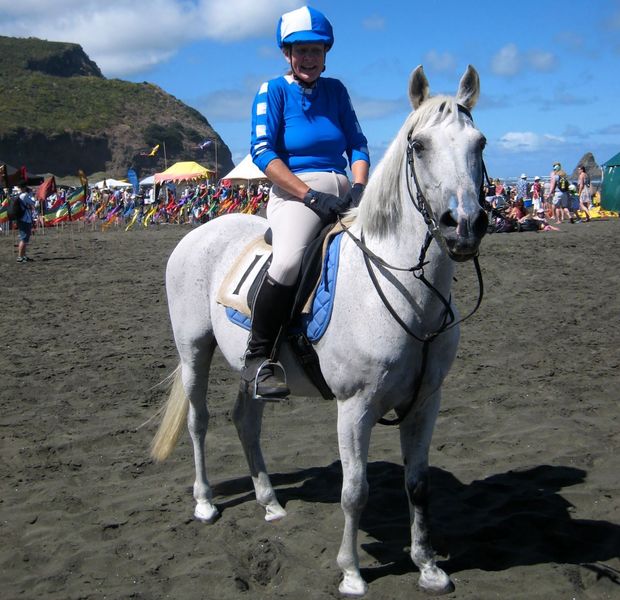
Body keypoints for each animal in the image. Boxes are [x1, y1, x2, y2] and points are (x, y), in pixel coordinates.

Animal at [151, 67, 490, 596]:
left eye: (480, 143)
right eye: (418, 146)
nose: (465, 226)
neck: (405, 292)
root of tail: (199, 232)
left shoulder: (425, 401)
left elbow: (418, 483)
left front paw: (429, 566)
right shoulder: (355, 407)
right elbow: (355, 491)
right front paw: (351, 572)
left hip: (252, 368)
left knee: (245, 420)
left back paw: (269, 501)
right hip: (194, 350)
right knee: (198, 420)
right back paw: (204, 502)